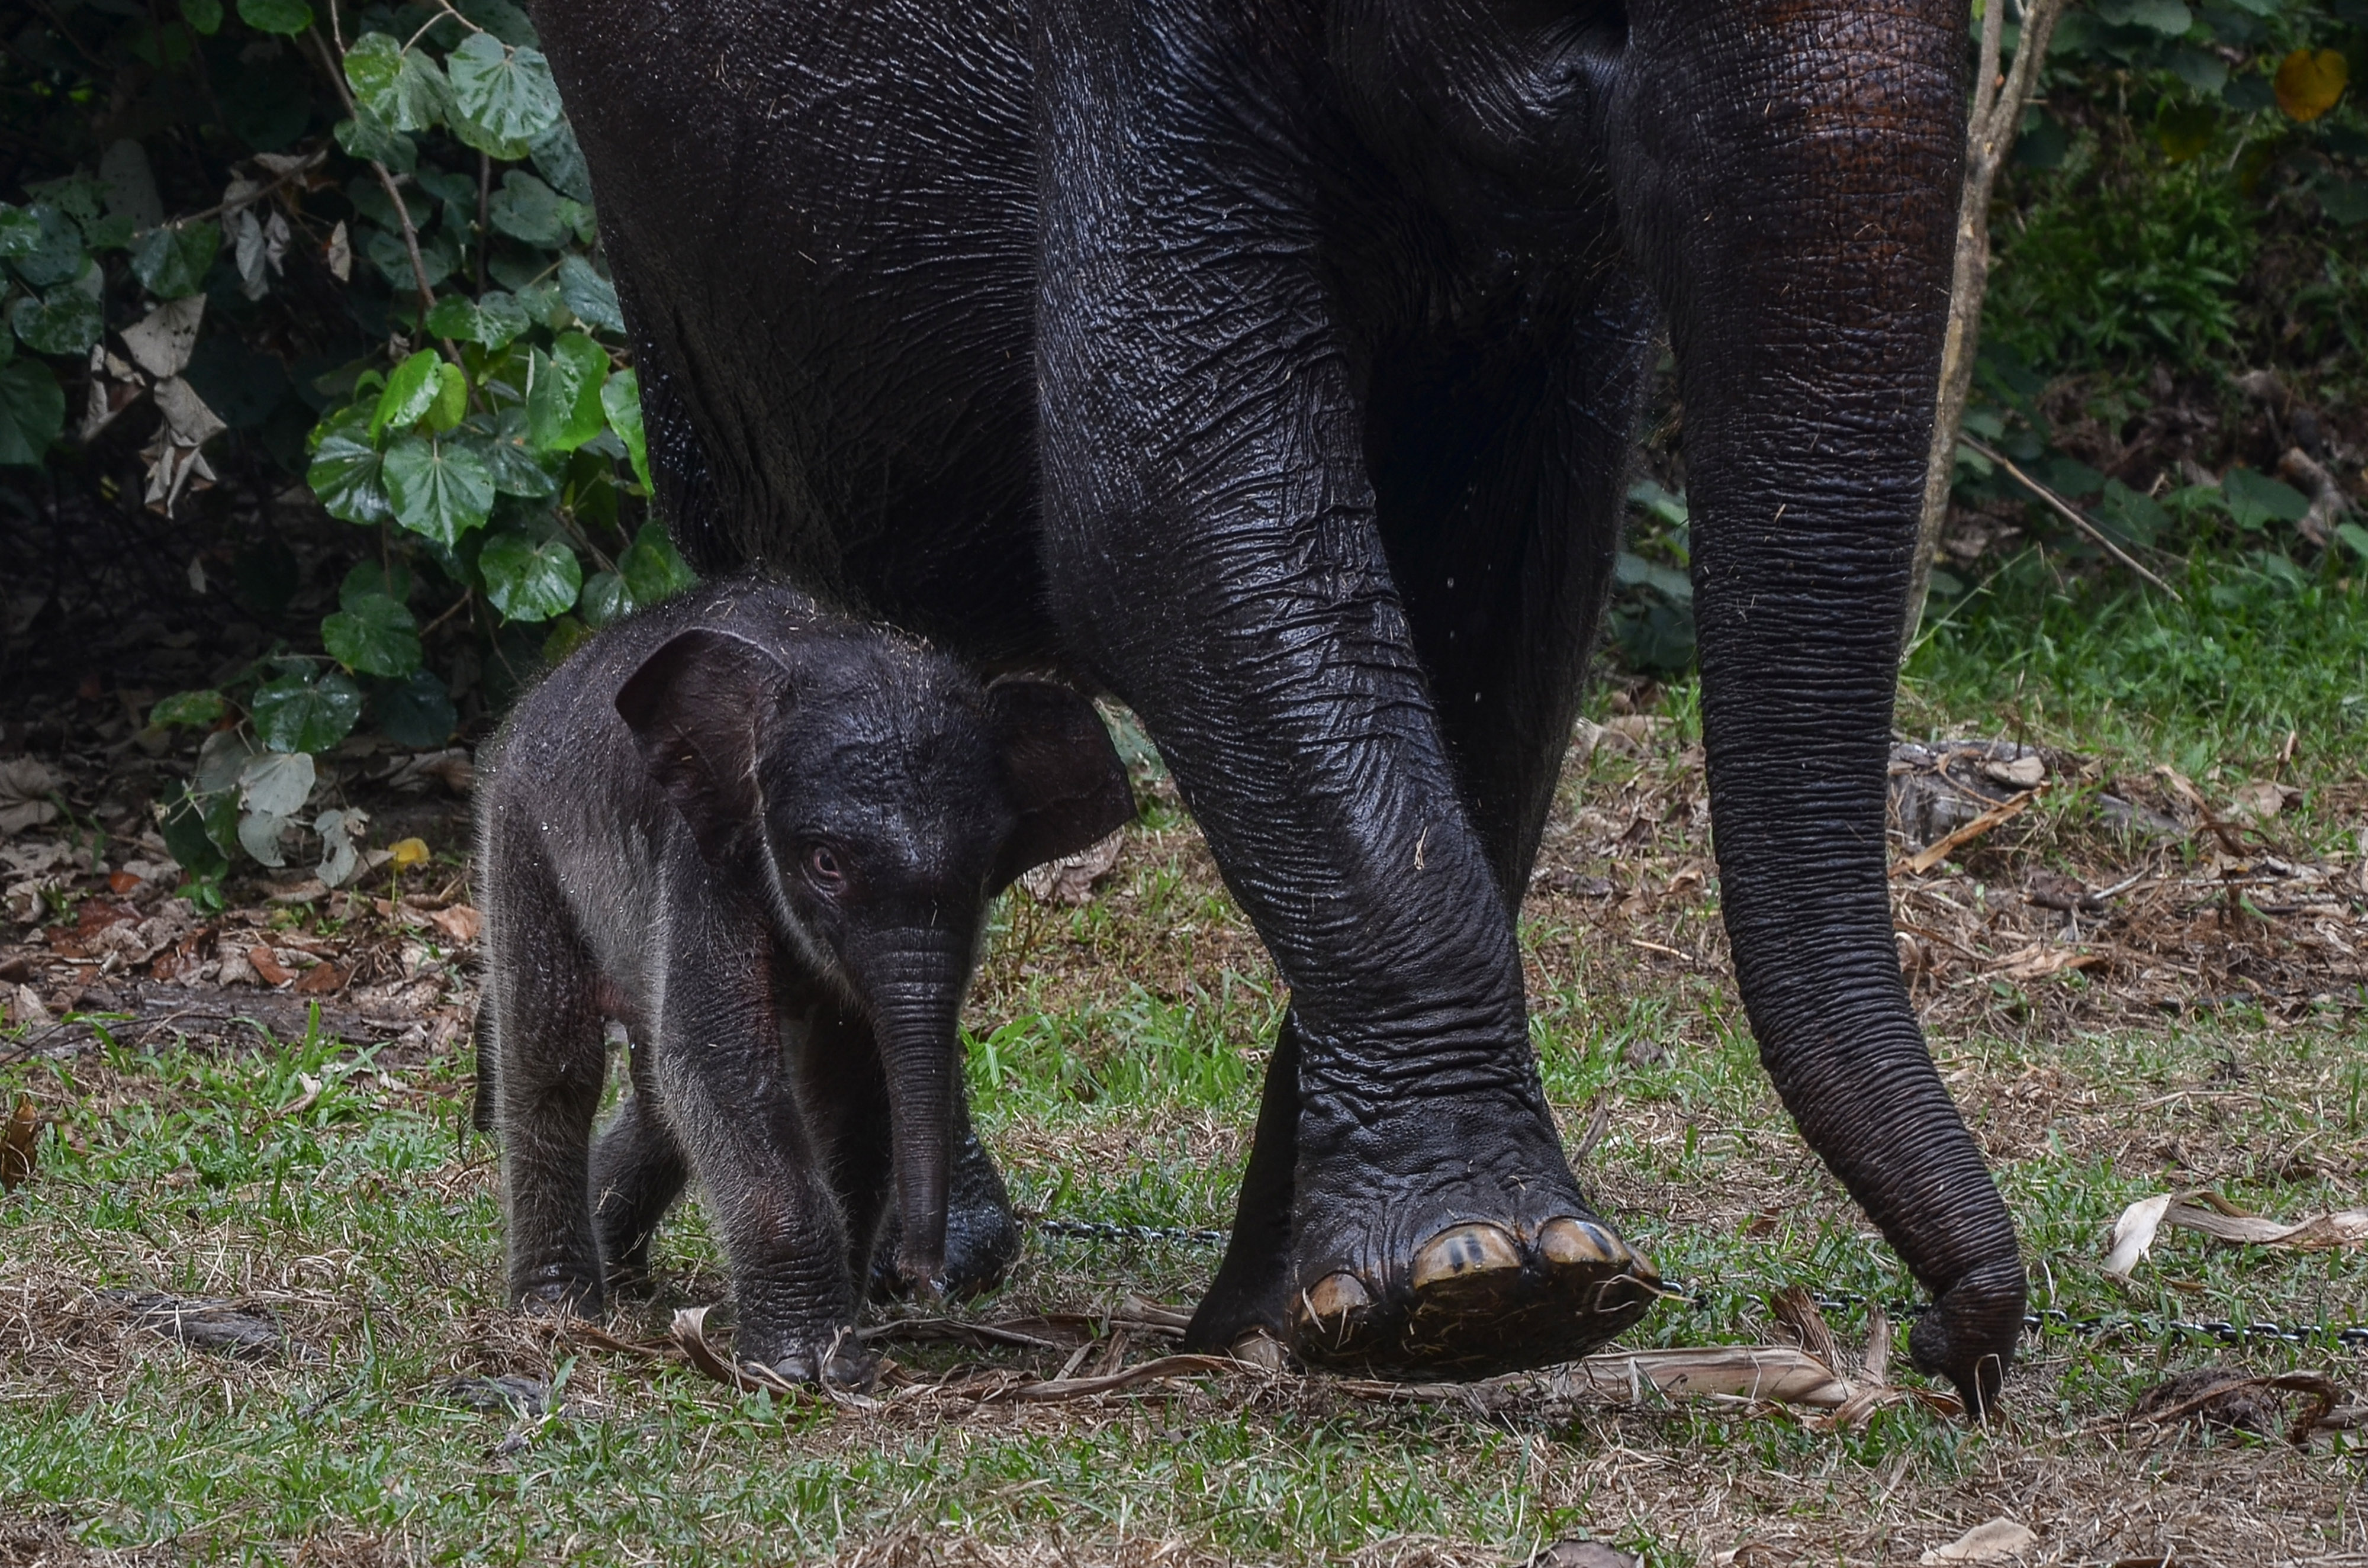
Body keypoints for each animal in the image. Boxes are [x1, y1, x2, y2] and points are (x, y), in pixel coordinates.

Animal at [476, 580, 1132, 1392]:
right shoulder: (704, 860)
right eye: (825, 863)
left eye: (985, 868)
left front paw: (839, 1336)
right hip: (520, 835)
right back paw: (558, 1310)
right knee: (554, 1058)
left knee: (659, 1097)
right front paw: (802, 1366)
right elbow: (720, 1061)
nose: (923, 1274)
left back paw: (618, 1271)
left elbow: (853, 1084)